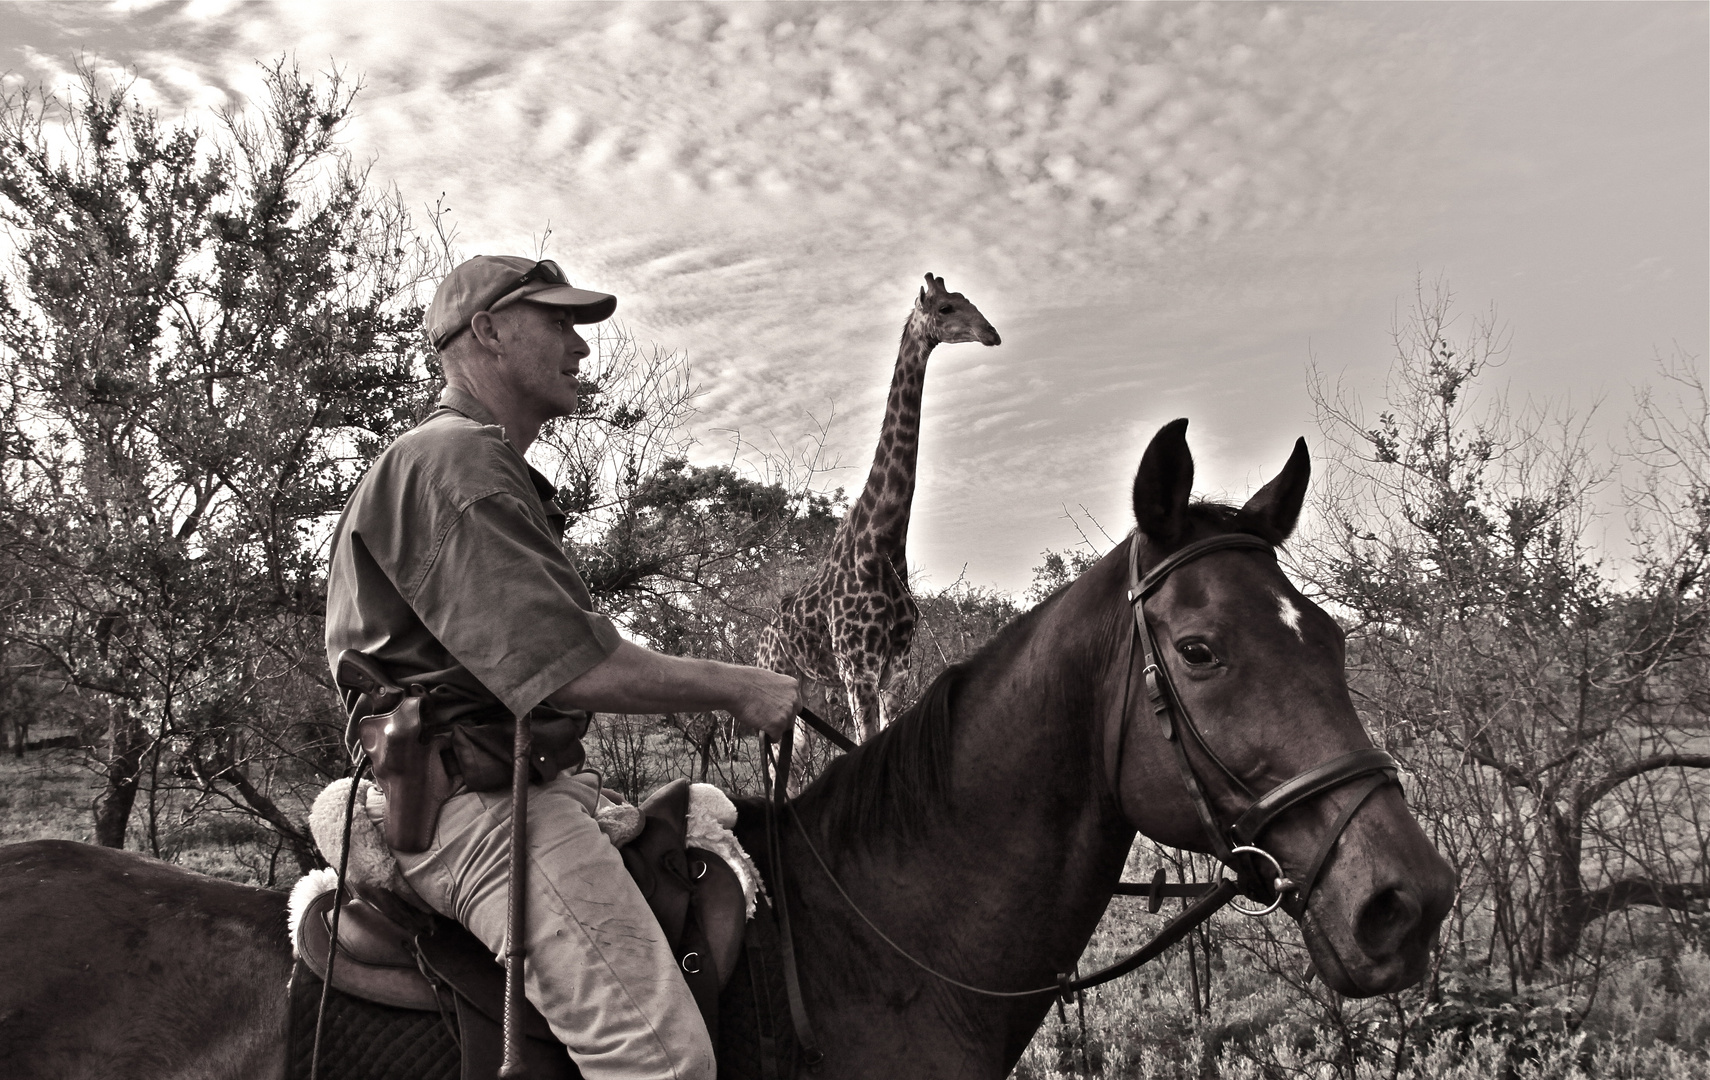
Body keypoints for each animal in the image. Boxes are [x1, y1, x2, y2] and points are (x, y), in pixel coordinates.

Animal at [759, 270, 998, 745]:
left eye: (969, 300)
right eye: (946, 307)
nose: (991, 333)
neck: (883, 540)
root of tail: (759, 637)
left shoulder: (896, 671)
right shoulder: (859, 669)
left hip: (811, 686)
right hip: (780, 675)